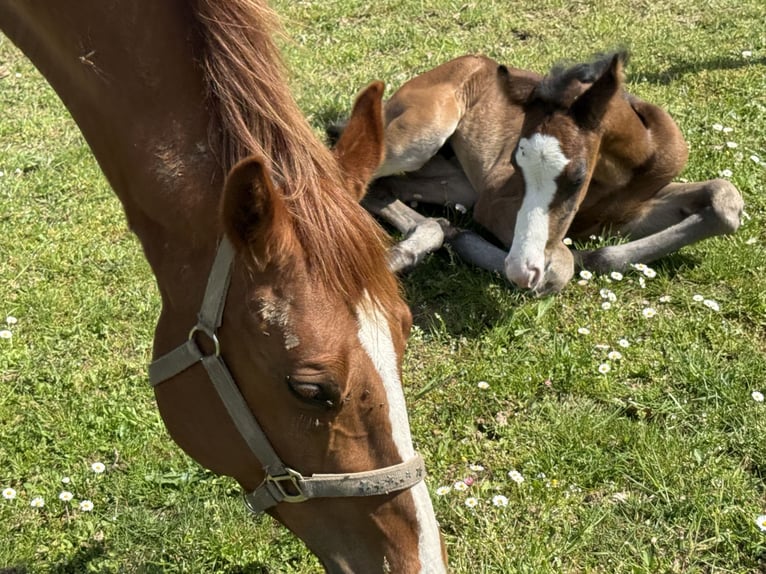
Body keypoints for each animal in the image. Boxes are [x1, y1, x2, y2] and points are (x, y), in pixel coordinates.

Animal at [356, 52, 744, 295]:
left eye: (578, 177)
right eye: (515, 166)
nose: (521, 270)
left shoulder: (627, 213)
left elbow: (725, 197)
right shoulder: (494, 203)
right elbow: (559, 268)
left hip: (451, 184)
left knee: (384, 191)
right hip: (419, 136)